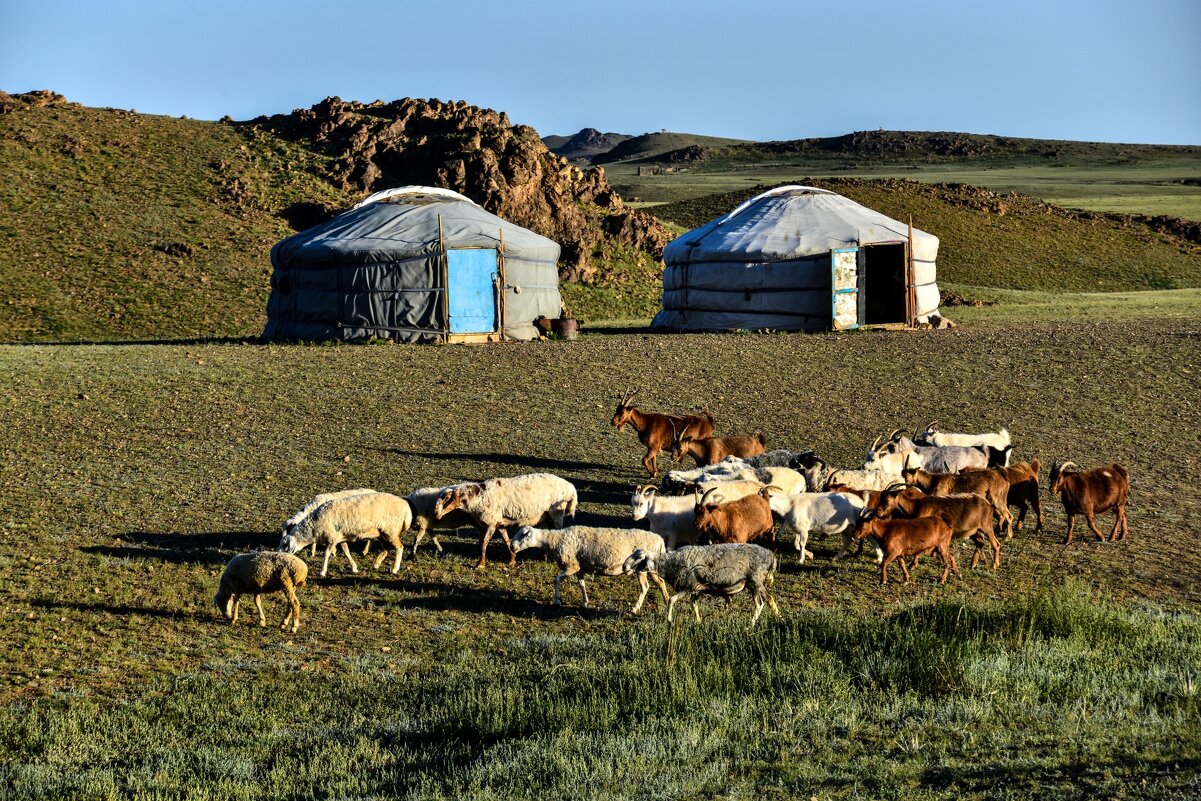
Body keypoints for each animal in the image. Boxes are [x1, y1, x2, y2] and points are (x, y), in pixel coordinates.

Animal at [434, 475, 578, 569]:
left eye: (446, 499)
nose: (436, 515)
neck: (478, 497)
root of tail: (571, 488)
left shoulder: (491, 524)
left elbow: (483, 545)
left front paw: (480, 564)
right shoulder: (499, 523)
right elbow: (506, 541)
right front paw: (512, 560)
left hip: (556, 514)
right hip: (547, 516)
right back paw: (543, 556)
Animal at [511, 525, 672, 614]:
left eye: (523, 535)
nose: (512, 547)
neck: (553, 541)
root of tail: (660, 541)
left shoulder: (571, 566)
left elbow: (556, 579)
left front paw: (557, 600)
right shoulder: (580, 568)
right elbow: (581, 584)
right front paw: (585, 602)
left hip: (641, 569)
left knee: (645, 587)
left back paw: (635, 608)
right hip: (651, 568)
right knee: (661, 582)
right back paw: (667, 601)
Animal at [624, 545, 783, 624]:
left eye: (639, 557)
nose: (624, 567)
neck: (671, 563)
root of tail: (772, 556)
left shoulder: (688, 586)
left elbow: (671, 600)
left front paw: (669, 620)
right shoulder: (695, 589)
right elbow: (694, 604)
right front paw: (699, 621)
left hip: (755, 581)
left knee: (764, 601)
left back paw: (755, 623)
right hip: (752, 584)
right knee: (765, 601)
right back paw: (772, 619)